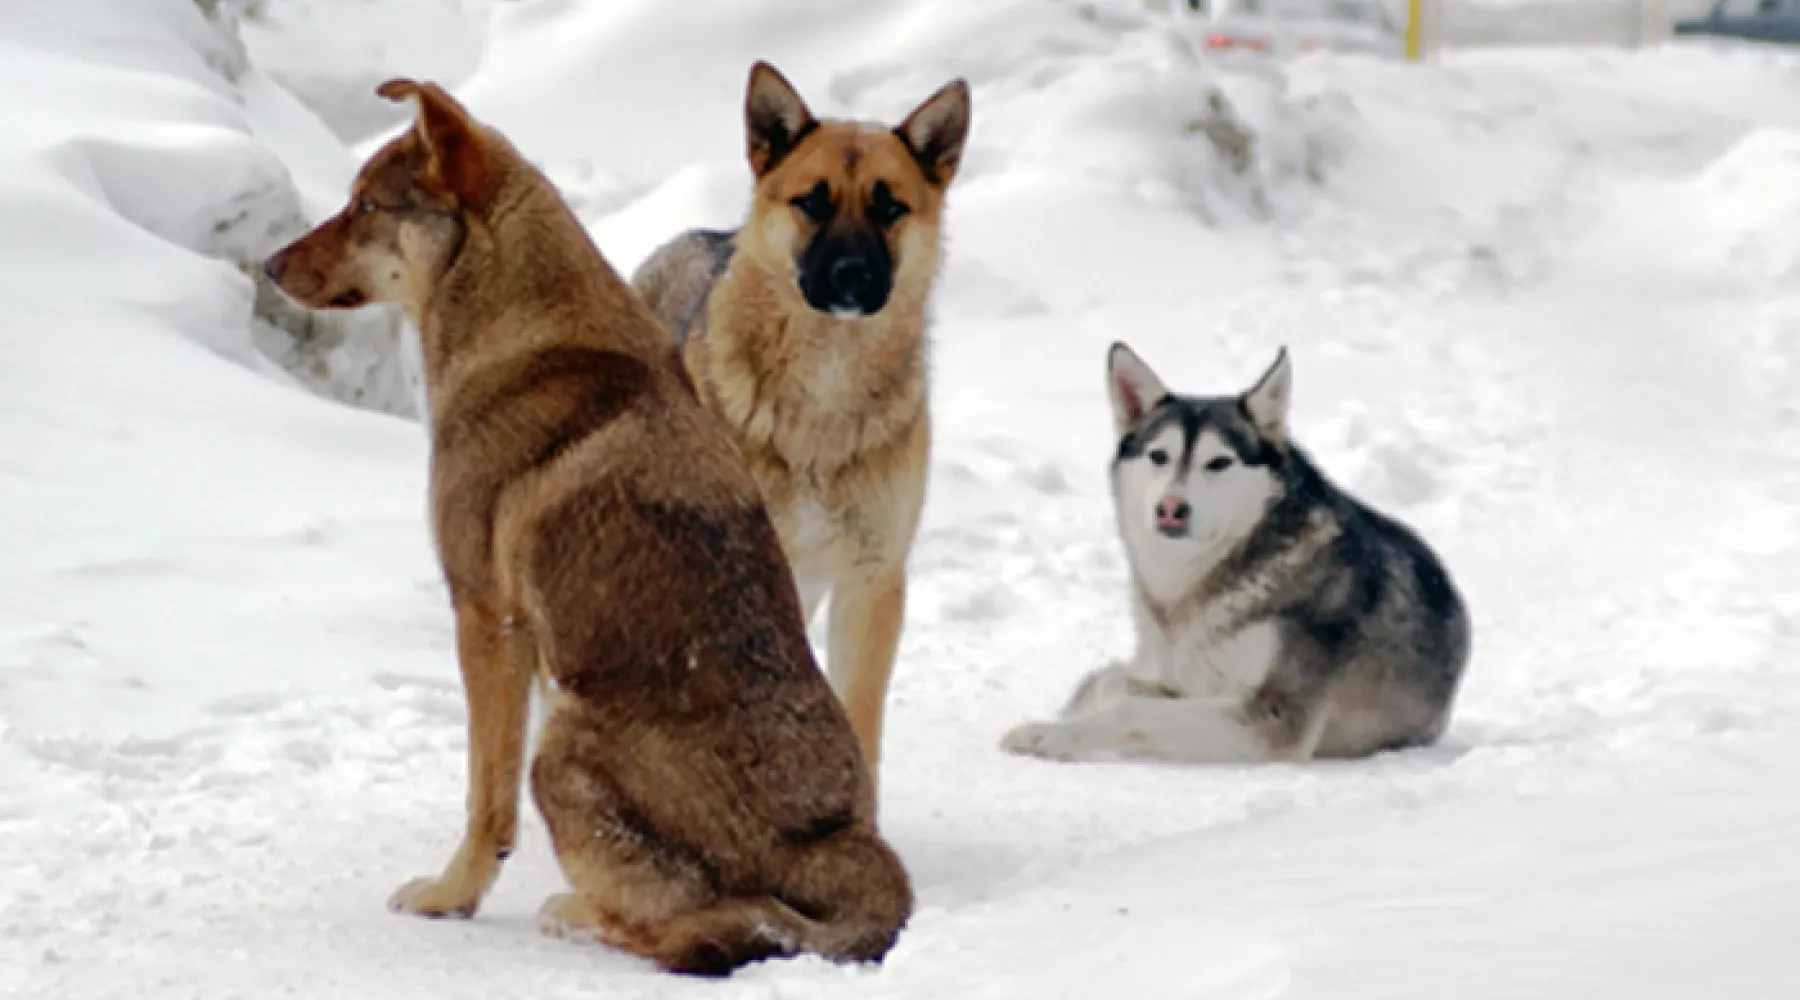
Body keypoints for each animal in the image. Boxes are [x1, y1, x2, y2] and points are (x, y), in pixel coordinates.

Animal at [262, 80, 914, 978]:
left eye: (364, 205)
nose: (268, 266)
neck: (520, 331)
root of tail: (834, 843)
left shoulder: (488, 619)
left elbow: (485, 802)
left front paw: (448, 898)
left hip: (561, 746)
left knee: (692, 926)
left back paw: (573, 912)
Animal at [633, 62, 972, 784]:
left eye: (890, 207)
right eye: (811, 202)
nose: (850, 275)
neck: (823, 397)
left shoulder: (870, 583)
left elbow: (859, 722)